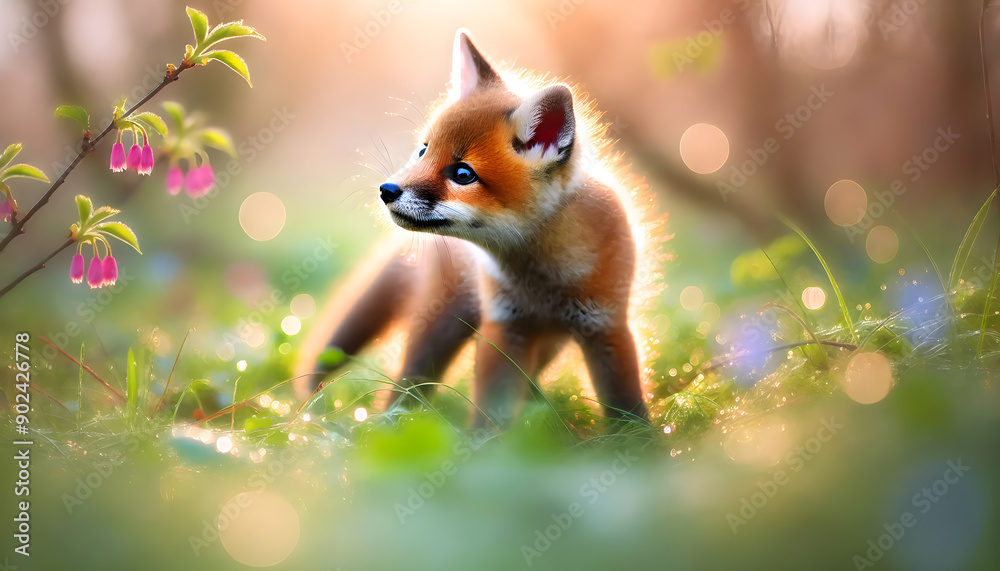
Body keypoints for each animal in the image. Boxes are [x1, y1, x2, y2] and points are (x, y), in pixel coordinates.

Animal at [297, 30, 661, 426]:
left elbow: (627, 406)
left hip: (541, 345)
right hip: (440, 326)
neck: (542, 284)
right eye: (424, 151)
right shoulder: (504, 326)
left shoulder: (606, 327)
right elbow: (492, 412)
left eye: (463, 174)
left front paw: (641, 439)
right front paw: (487, 442)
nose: (387, 190)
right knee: (403, 388)